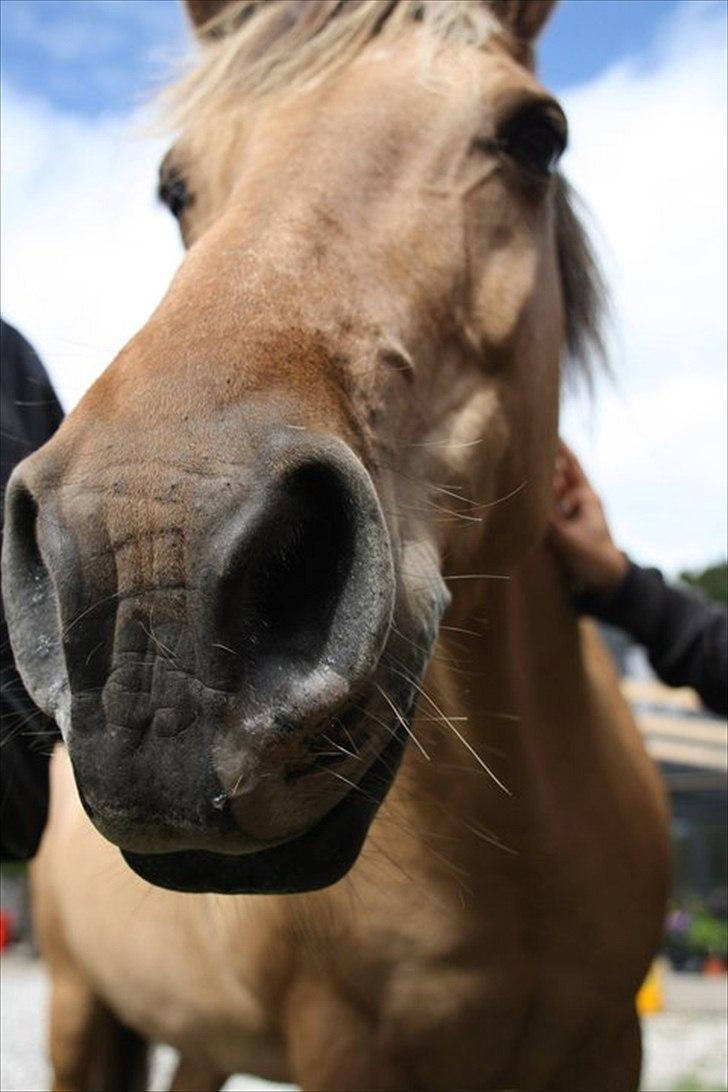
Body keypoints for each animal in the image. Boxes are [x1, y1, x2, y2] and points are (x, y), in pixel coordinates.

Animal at [2, 2, 667, 1092]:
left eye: (537, 135)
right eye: (172, 185)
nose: (149, 581)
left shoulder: (611, 1044)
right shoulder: (346, 1049)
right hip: (79, 1012)